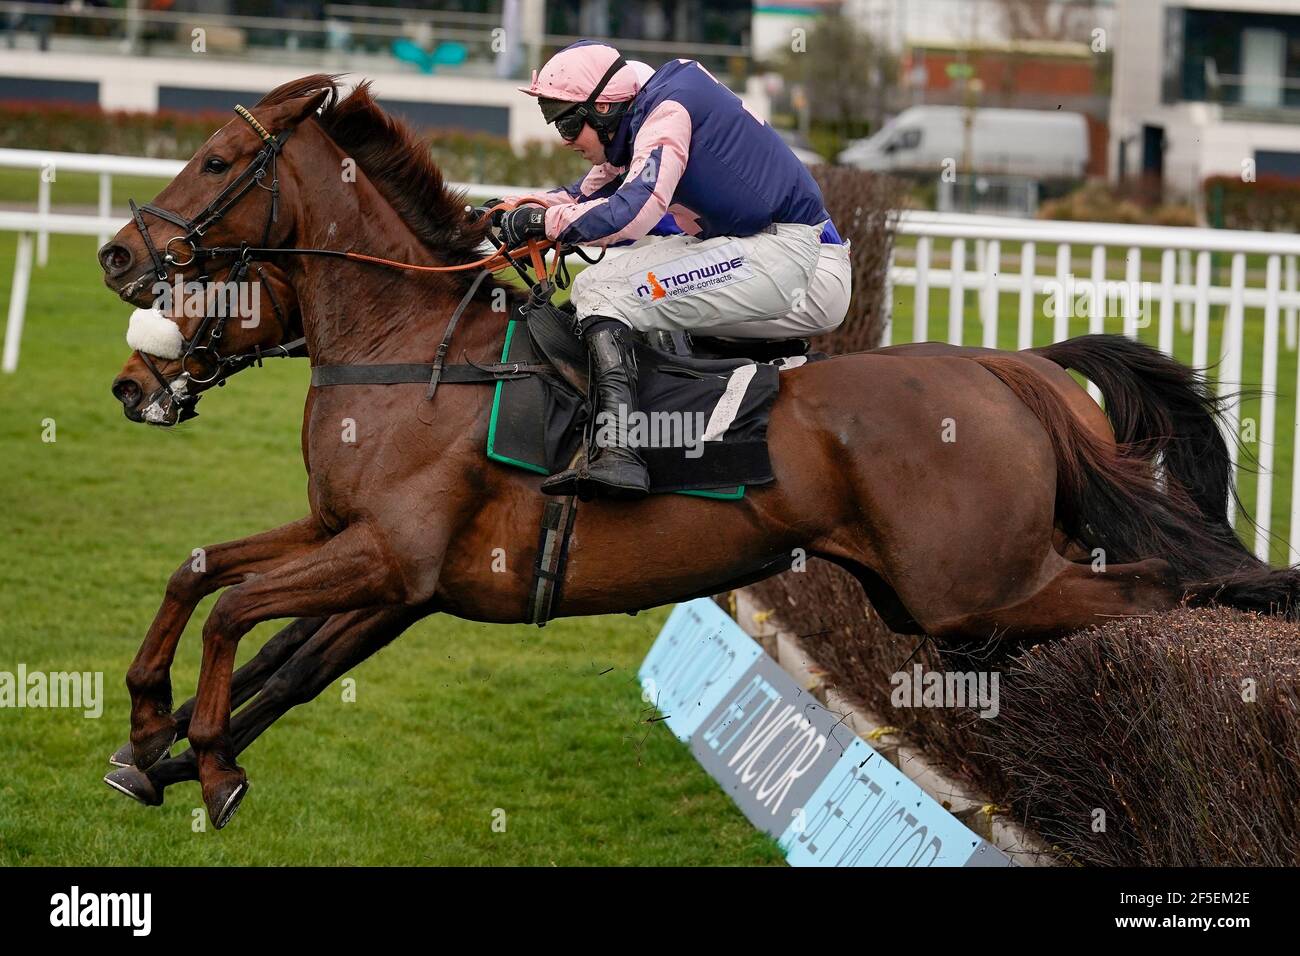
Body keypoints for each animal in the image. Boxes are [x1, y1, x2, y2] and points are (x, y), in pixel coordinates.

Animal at [96, 74, 1294, 827]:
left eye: (215, 159)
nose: (116, 259)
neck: (413, 353)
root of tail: (1008, 367)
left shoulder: (393, 558)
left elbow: (242, 618)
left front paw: (203, 761)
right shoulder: (371, 555)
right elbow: (216, 593)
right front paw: (151, 740)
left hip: (974, 586)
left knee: (1158, 590)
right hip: (955, 601)